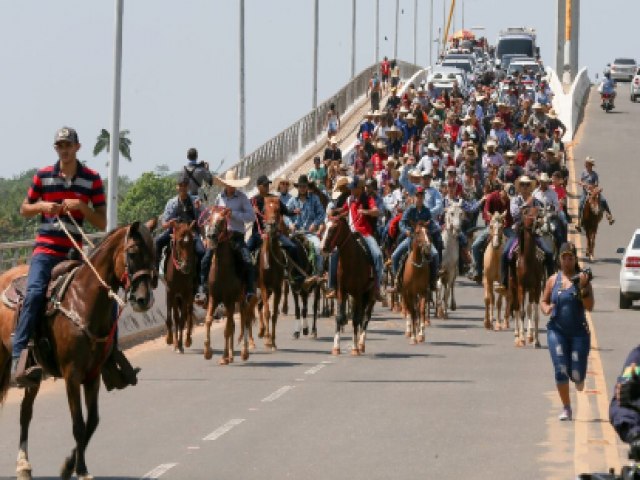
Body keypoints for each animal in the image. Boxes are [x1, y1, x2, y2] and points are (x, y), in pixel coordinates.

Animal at [0, 220, 156, 480]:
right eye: (133, 253)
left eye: (155, 254)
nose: (144, 300)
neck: (83, 301)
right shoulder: (72, 375)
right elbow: (79, 424)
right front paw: (81, 470)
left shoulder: (92, 375)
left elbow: (92, 421)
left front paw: (69, 465)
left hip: (33, 373)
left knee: (25, 412)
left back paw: (23, 465)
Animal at [202, 207, 252, 364]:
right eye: (209, 219)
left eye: (222, 220)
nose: (211, 235)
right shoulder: (214, 298)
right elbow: (208, 321)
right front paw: (207, 352)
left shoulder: (230, 301)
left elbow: (227, 329)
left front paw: (223, 356)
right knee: (235, 325)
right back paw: (230, 354)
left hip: (242, 300)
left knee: (244, 321)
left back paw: (243, 352)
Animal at [320, 216, 376, 354]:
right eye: (325, 226)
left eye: (334, 228)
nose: (323, 248)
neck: (351, 260)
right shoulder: (342, 291)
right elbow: (339, 317)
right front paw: (336, 347)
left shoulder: (357, 293)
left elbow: (356, 319)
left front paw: (355, 348)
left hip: (370, 295)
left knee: (365, 317)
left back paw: (361, 344)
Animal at [508, 208, 544, 346]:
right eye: (528, 213)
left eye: (538, 209)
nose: (540, 217)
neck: (528, 261)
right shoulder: (521, 287)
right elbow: (522, 311)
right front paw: (522, 339)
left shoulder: (536, 287)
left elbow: (535, 314)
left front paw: (536, 340)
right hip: (514, 286)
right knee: (517, 307)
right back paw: (518, 335)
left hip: (530, 290)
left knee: (528, 309)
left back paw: (529, 335)